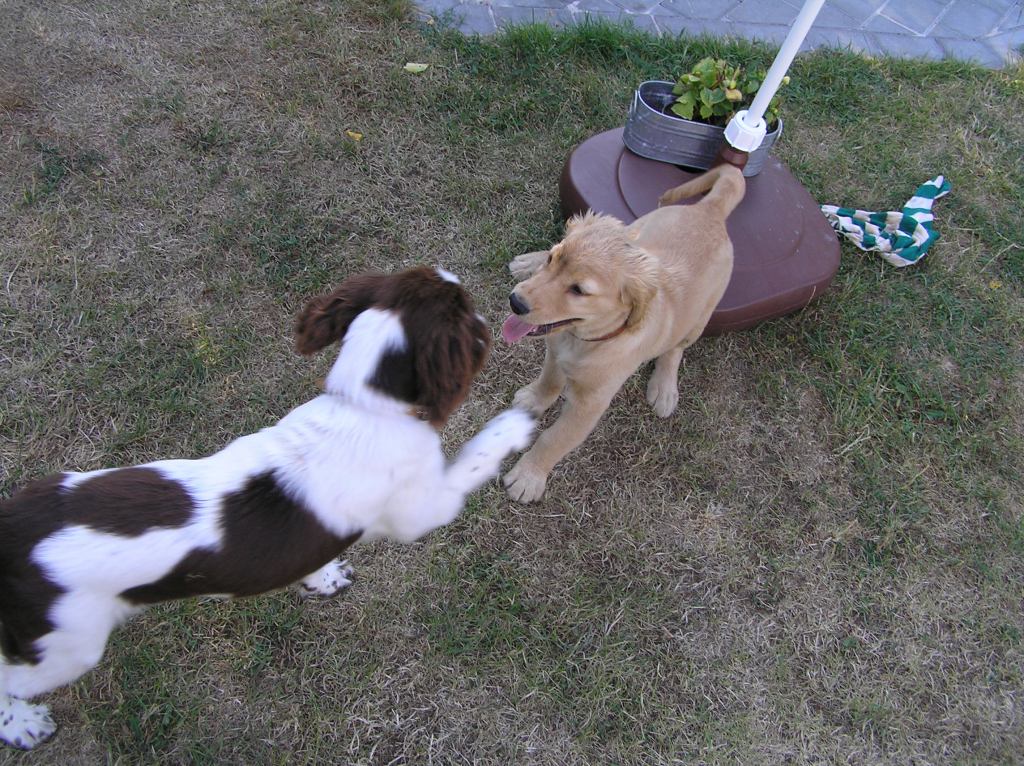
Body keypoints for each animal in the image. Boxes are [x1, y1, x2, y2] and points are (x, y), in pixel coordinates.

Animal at [0, 266, 534, 749]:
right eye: (463, 306)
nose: (499, 304)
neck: (363, 405)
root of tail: (12, 537)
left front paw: (323, 579)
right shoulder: (422, 508)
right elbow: (473, 458)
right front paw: (515, 424)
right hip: (68, 644)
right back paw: (22, 724)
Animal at [500, 164, 744, 502]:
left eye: (579, 290)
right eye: (553, 259)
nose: (516, 302)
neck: (582, 339)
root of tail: (711, 209)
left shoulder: (590, 404)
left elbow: (555, 438)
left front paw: (528, 477)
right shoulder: (554, 349)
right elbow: (548, 381)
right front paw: (534, 399)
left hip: (700, 317)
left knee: (675, 349)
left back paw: (664, 387)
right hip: (639, 230)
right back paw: (526, 262)